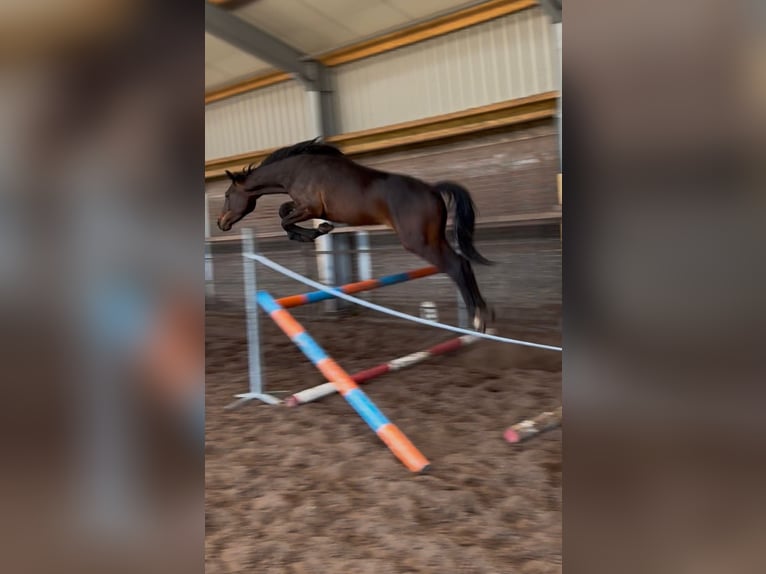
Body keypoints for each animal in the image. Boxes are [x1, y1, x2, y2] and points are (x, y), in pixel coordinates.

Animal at [216, 138, 494, 331]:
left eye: (228, 195)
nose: (221, 223)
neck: (296, 170)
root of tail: (434, 190)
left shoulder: (310, 208)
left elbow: (285, 219)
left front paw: (318, 230)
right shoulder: (303, 207)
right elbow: (284, 211)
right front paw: (319, 230)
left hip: (420, 242)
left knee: (455, 266)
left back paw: (478, 320)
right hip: (435, 238)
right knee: (463, 263)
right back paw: (485, 316)